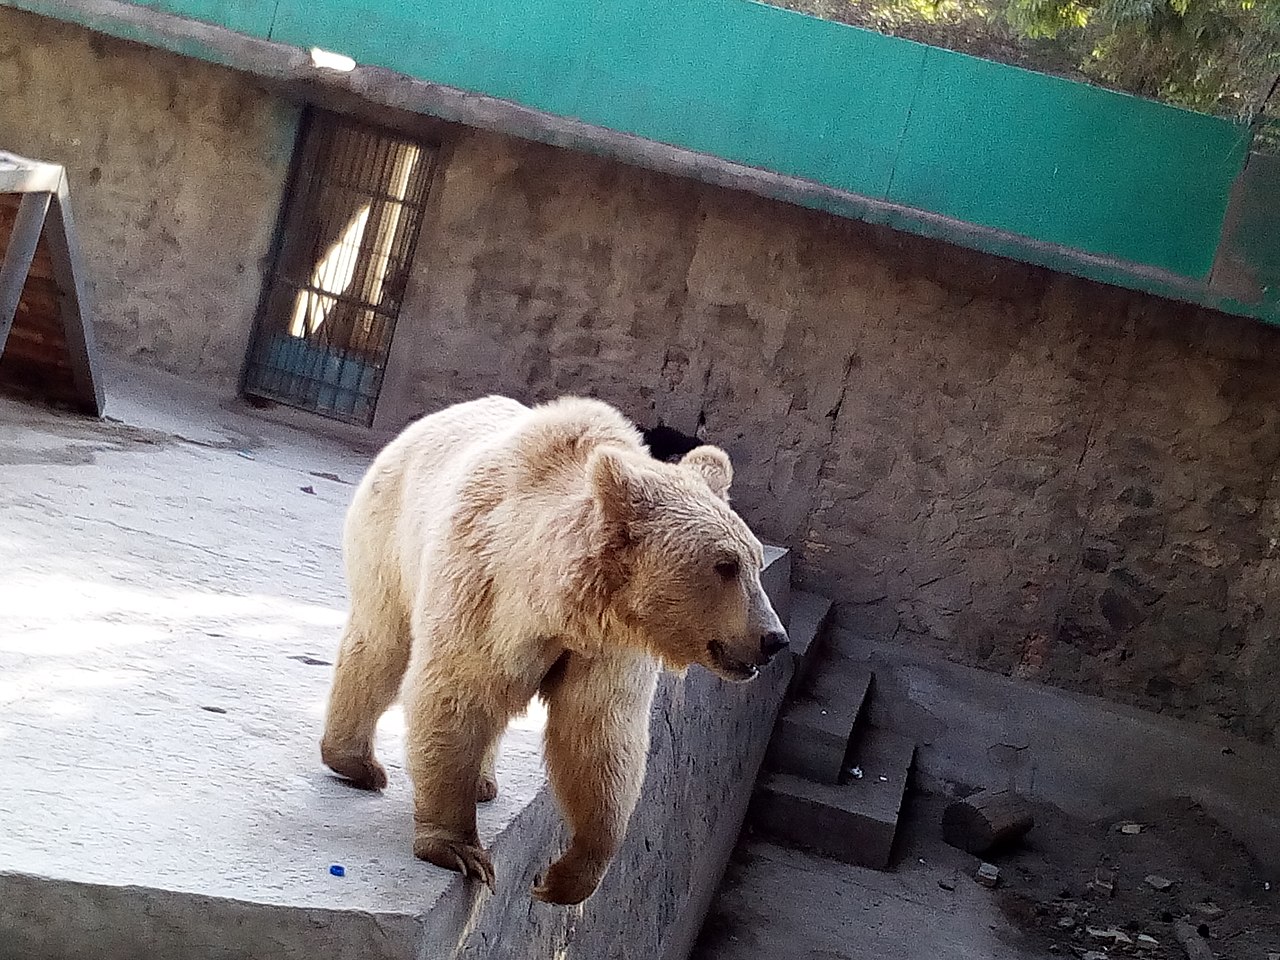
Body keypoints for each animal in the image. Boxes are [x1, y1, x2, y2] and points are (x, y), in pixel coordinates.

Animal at [320, 394, 783, 906]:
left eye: (755, 560)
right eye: (726, 565)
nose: (773, 638)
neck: (556, 603)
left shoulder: (609, 648)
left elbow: (599, 734)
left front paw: (563, 876)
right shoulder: (482, 587)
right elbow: (457, 692)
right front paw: (461, 849)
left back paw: (482, 781)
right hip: (391, 536)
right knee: (381, 645)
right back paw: (357, 761)